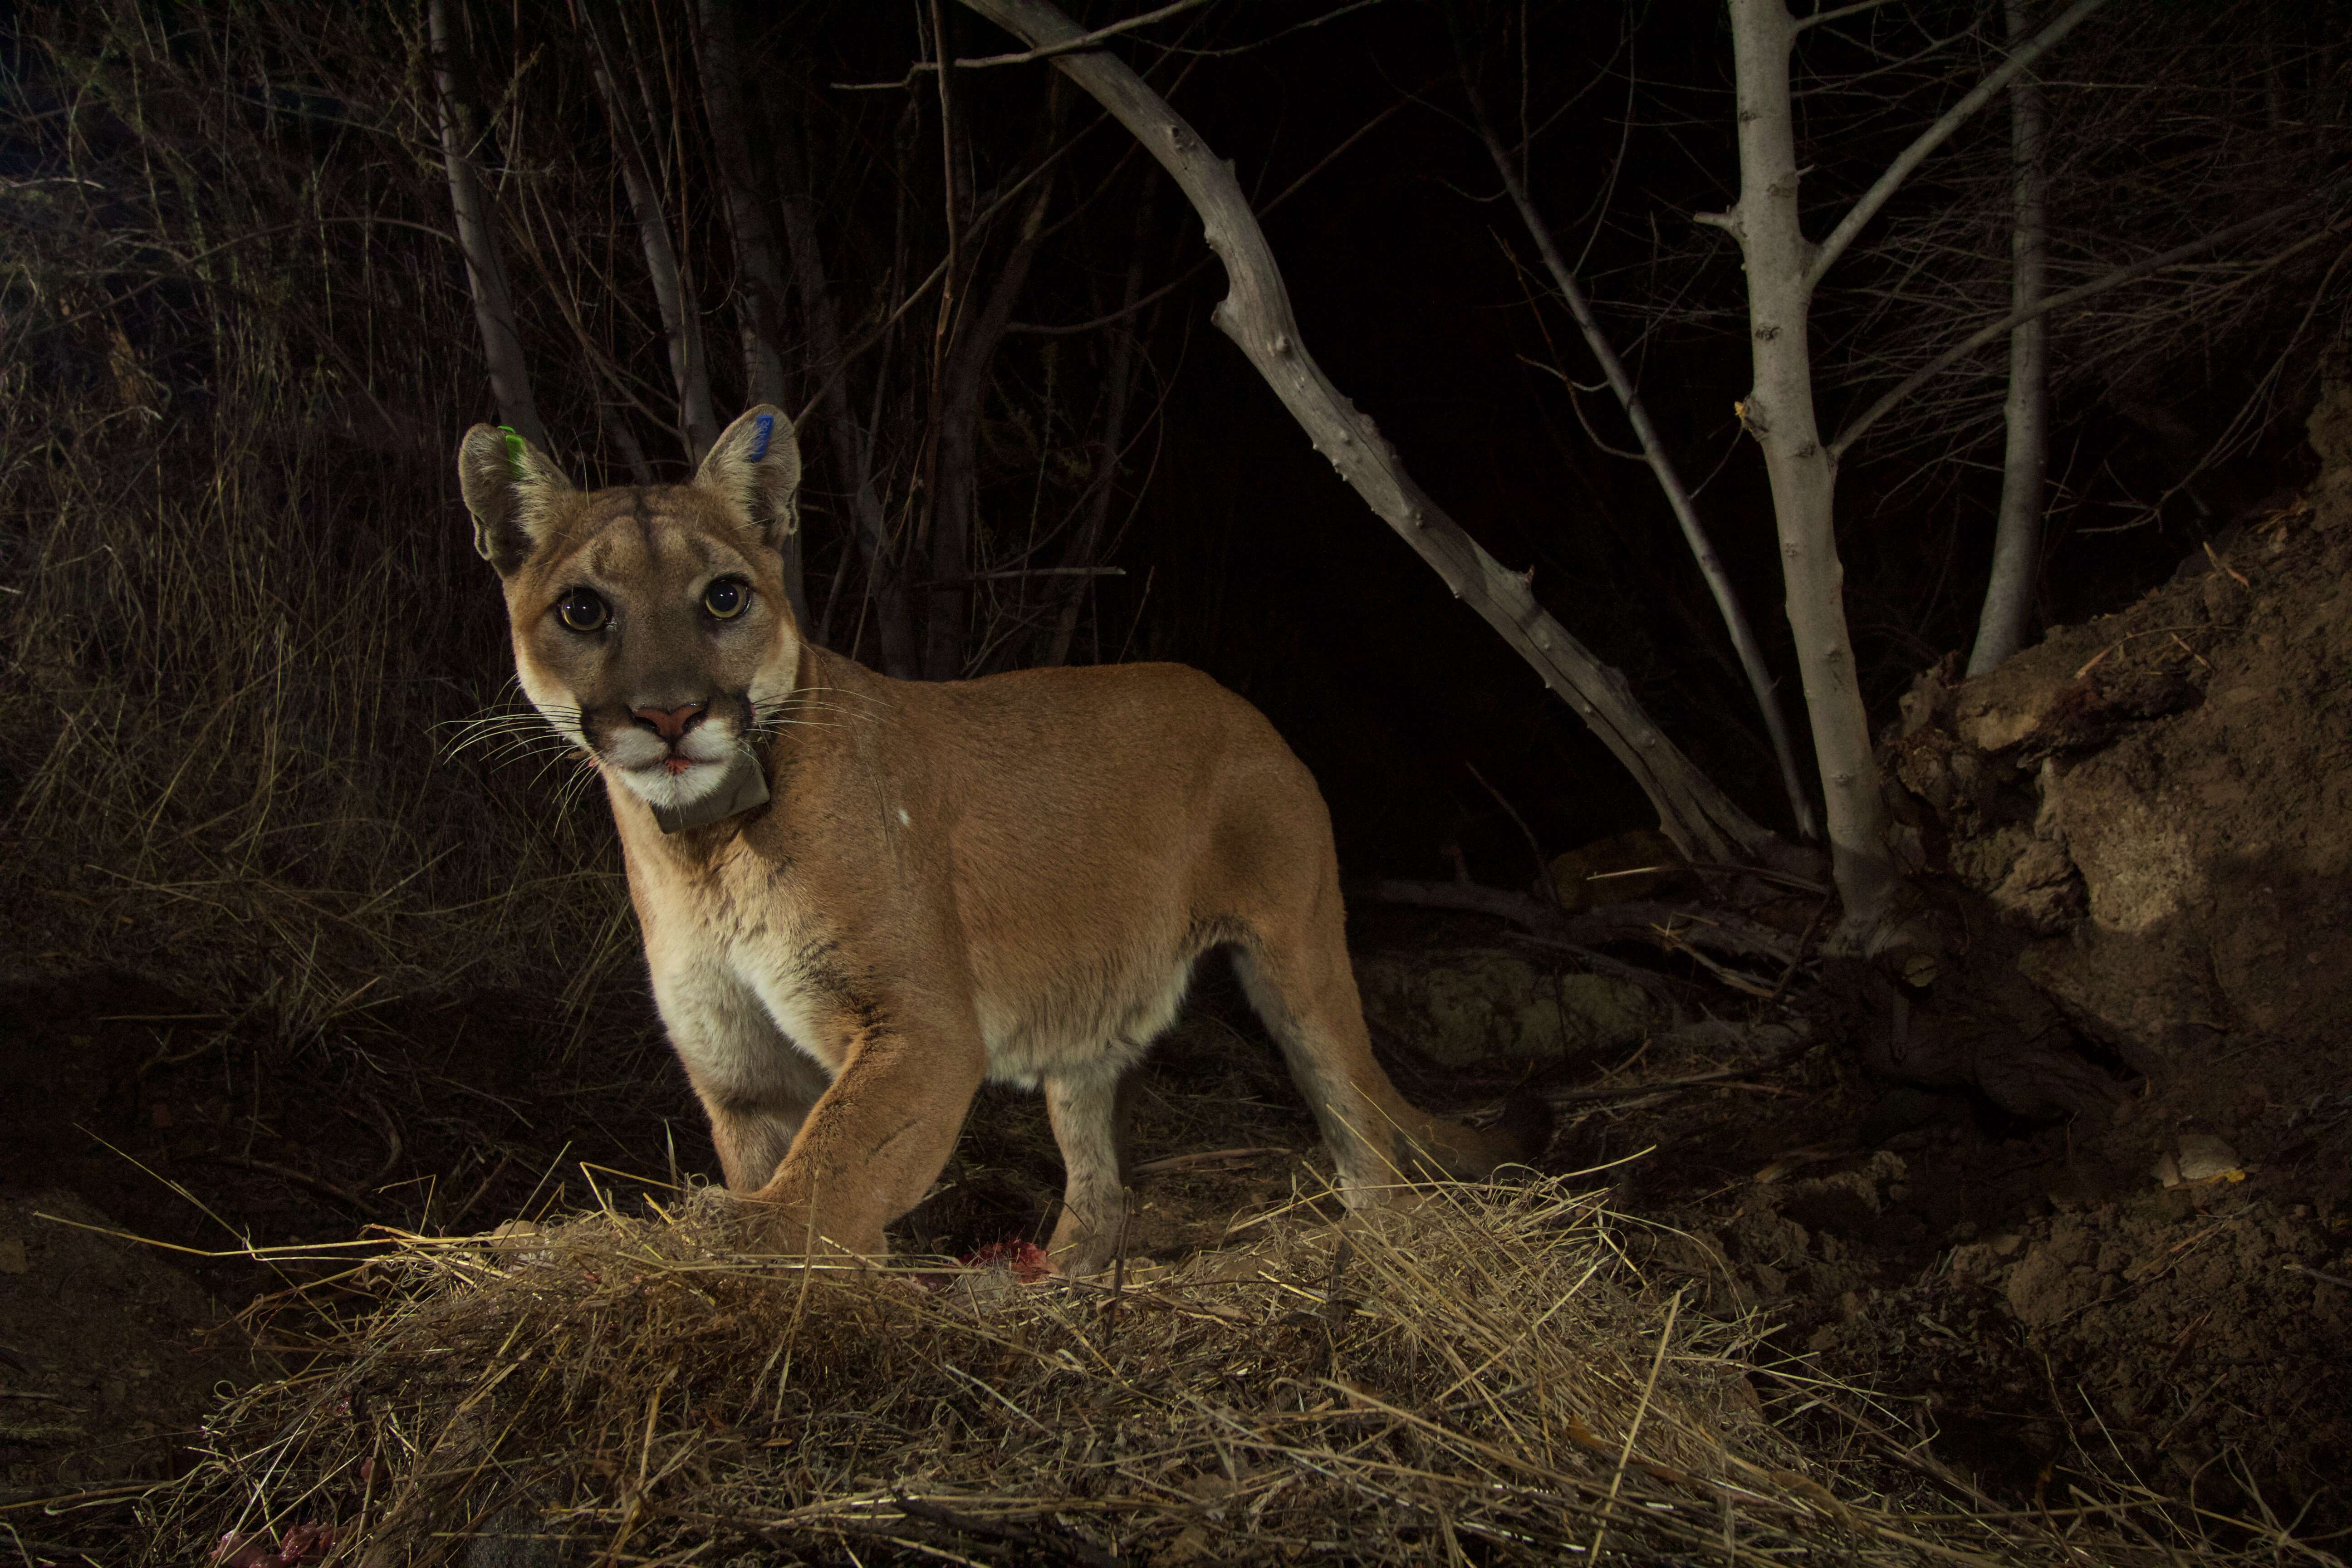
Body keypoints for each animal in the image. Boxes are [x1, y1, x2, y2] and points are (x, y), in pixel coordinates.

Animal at [461, 409, 1552, 1279]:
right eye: (583, 610)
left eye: (723, 597)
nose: (670, 713)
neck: (704, 848)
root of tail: (1238, 702)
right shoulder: (740, 1072)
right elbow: (803, 1172)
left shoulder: (920, 1028)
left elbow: (829, 1173)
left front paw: (739, 1245)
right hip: (1086, 1016)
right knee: (1102, 1182)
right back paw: (1051, 1280)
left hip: (1298, 953)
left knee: (1360, 1123)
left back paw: (1377, 1253)